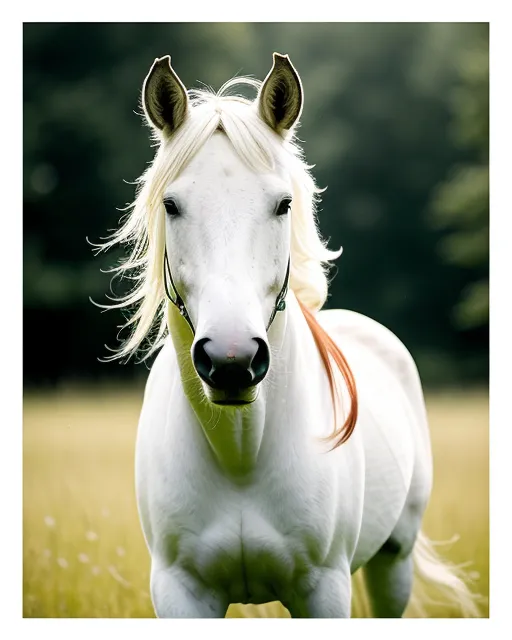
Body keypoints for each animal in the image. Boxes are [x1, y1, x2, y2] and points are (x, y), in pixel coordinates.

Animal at [98, 53, 482, 616]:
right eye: (171, 205)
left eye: (282, 204)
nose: (232, 360)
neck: (240, 453)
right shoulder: (180, 592)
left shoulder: (324, 590)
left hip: (395, 562)